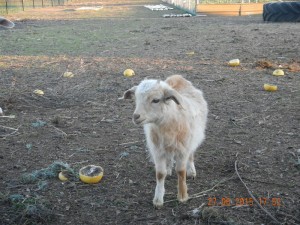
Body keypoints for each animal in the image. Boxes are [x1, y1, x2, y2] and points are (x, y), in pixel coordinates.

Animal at [120, 75, 207, 207]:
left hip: (193, 139)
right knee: (170, 157)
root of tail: (177, 77)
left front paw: (182, 196)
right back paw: (169, 168)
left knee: (191, 154)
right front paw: (158, 199)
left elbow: (181, 172)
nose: (136, 117)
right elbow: (160, 174)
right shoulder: (157, 150)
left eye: (156, 100)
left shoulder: (183, 149)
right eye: (136, 99)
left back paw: (191, 171)